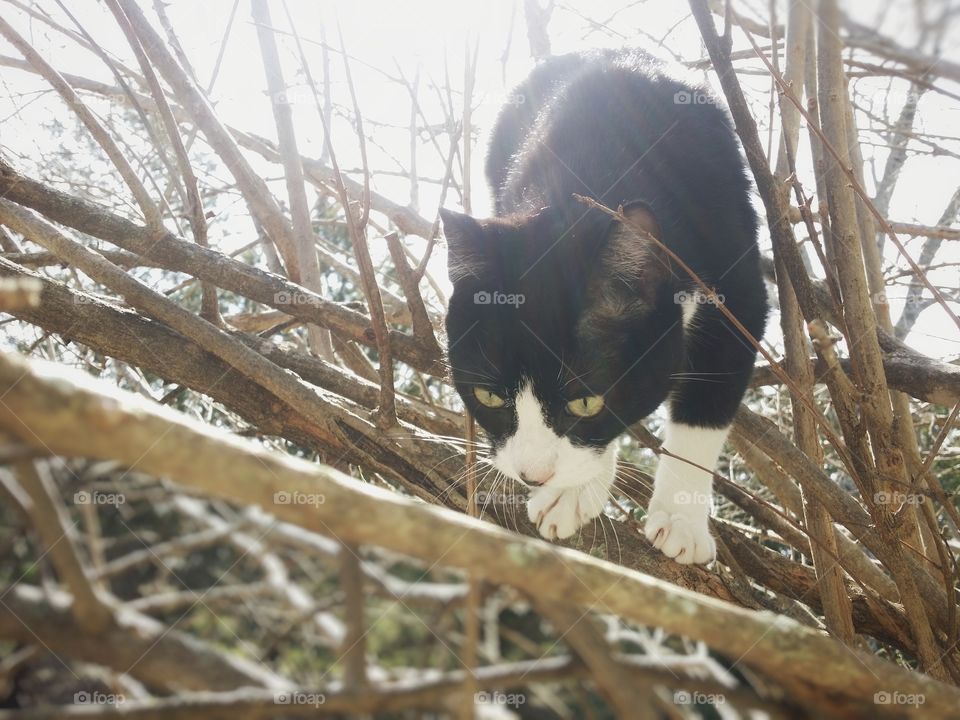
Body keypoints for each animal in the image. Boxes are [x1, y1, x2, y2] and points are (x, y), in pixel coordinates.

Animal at [440, 52, 764, 568]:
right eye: (488, 397)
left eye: (585, 402)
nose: (533, 475)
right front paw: (573, 492)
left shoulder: (741, 290)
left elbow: (708, 400)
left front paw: (680, 519)